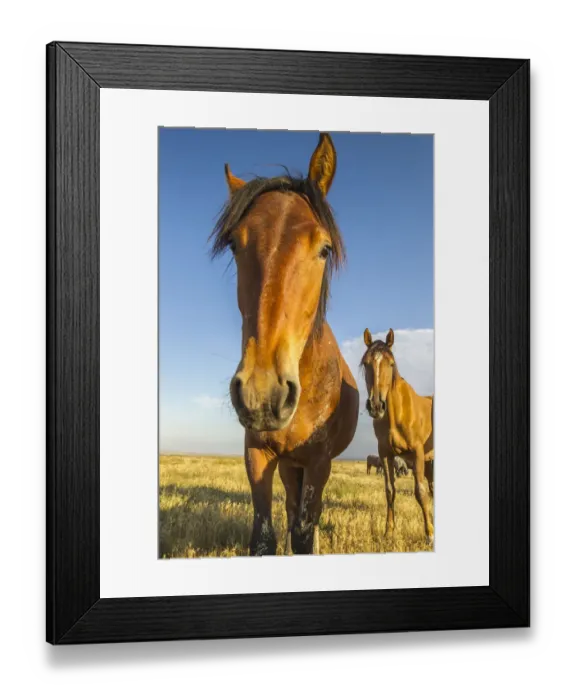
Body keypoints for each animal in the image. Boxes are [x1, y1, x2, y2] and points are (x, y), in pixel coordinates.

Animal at [210, 133, 360, 556]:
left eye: (324, 248)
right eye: (234, 245)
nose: (263, 395)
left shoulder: (319, 462)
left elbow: (305, 533)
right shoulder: (256, 454)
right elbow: (264, 537)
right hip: (290, 466)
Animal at [361, 328, 434, 544]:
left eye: (391, 363)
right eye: (366, 363)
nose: (376, 406)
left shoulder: (417, 452)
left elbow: (420, 492)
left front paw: (430, 534)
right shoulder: (385, 454)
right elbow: (390, 491)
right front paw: (388, 532)